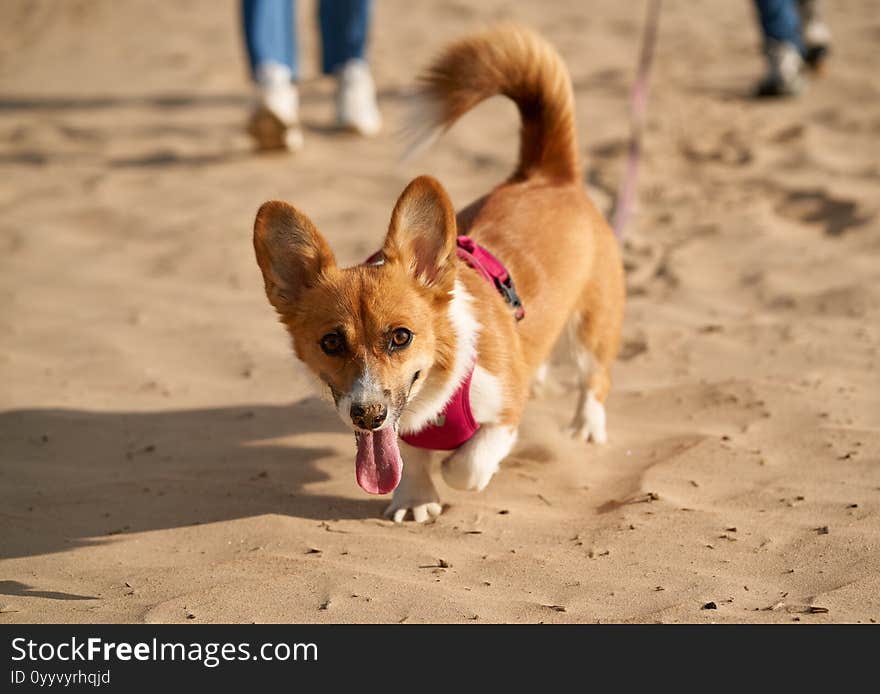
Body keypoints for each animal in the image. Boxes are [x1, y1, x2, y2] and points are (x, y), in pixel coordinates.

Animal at [254, 24, 624, 524]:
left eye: (401, 337)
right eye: (330, 343)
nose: (367, 415)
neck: (436, 389)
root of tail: (547, 175)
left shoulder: (504, 411)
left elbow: (467, 463)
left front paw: (455, 468)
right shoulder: (399, 430)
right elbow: (410, 460)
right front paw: (414, 500)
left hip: (593, 329)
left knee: (593, 379)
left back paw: (585, 427)